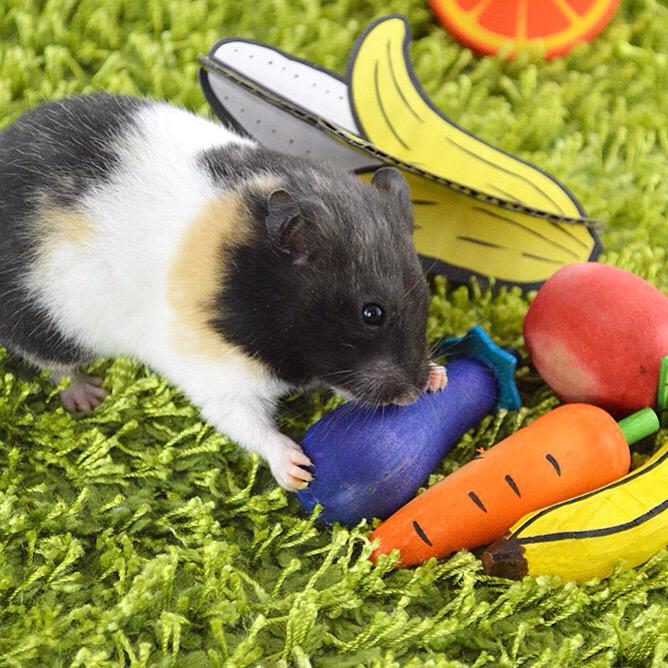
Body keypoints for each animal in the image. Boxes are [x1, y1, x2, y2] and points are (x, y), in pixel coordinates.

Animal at [0, 93, 447, 490]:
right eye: (372, 313)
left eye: (424, 296)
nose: (412, 395)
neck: (251, 285)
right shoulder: (217, 374)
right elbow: (245, 422)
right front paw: (298, 471)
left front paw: (438, 378)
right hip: (46, 322)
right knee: (51, 362)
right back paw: (88, 396)